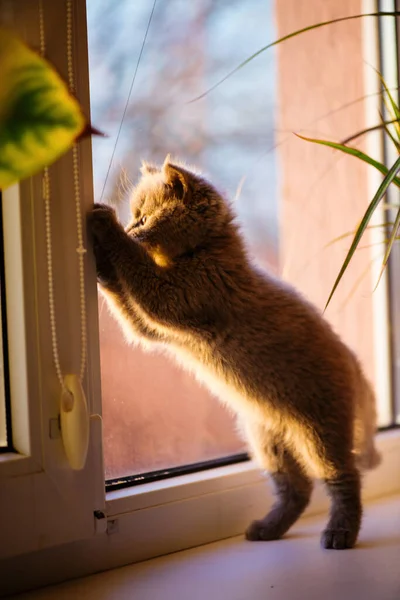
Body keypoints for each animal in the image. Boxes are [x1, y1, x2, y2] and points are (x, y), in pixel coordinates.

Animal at [90, 155, 382, 548]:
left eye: (144, 218)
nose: (130, 226)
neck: (205, 252)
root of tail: (355, 364)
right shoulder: (154, 327)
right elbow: (130, 308)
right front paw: (99, 259)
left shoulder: (175, 296)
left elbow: (137, 268)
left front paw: (105, 227)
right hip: (267, 440)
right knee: (298, 488)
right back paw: (269, 528)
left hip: (321, 432)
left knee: (344, 478)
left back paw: (340, 532)